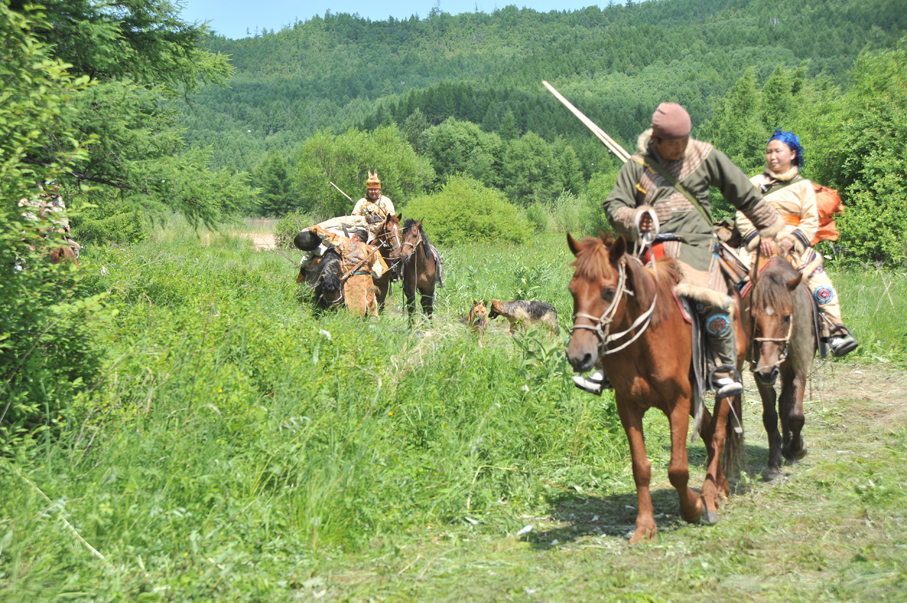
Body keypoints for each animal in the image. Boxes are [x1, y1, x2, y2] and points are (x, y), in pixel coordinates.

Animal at [565, 233, 745, 544]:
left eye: (609, 291)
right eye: (572, 290)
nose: (579, 356)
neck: (646, 339)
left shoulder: (678, 401)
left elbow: (678, 469)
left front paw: (694, 507)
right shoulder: (628, 405)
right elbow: (641, 468)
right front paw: (645, 526)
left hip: (725, 384)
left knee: (718, 435)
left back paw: (710, 496)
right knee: (708, 432)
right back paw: (720, 487)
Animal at [745, 256, 816, 479]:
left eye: (786, 317)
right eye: (753, 317)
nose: (768, 370)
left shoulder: (799, 366)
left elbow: (796, 415)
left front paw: (797, 449)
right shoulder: (759, 371)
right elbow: (770, 416)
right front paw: (774, 465)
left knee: (786, 403)